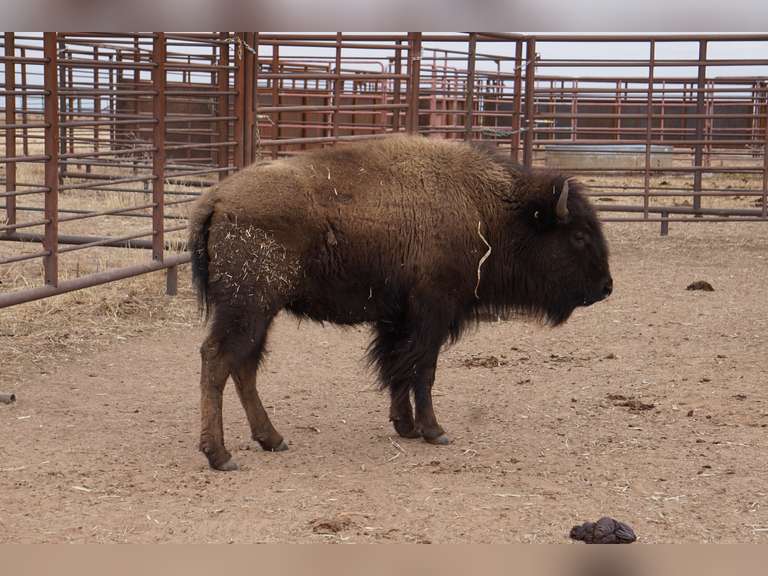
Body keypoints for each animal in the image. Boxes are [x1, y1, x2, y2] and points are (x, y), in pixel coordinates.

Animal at [189, 135, 612, 471]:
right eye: (578, 236)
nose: (606, 287)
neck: (486, 208)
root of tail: (216, 198)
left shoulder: (396, 318)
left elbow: (396, 368)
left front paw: (405, 426)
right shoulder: (432, 312)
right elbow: (422, 369)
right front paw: (434, 430)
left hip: (259, 313)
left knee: (244, 367)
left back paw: (272, 439)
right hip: (248, 308)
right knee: (218, 360)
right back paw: (220, 455)